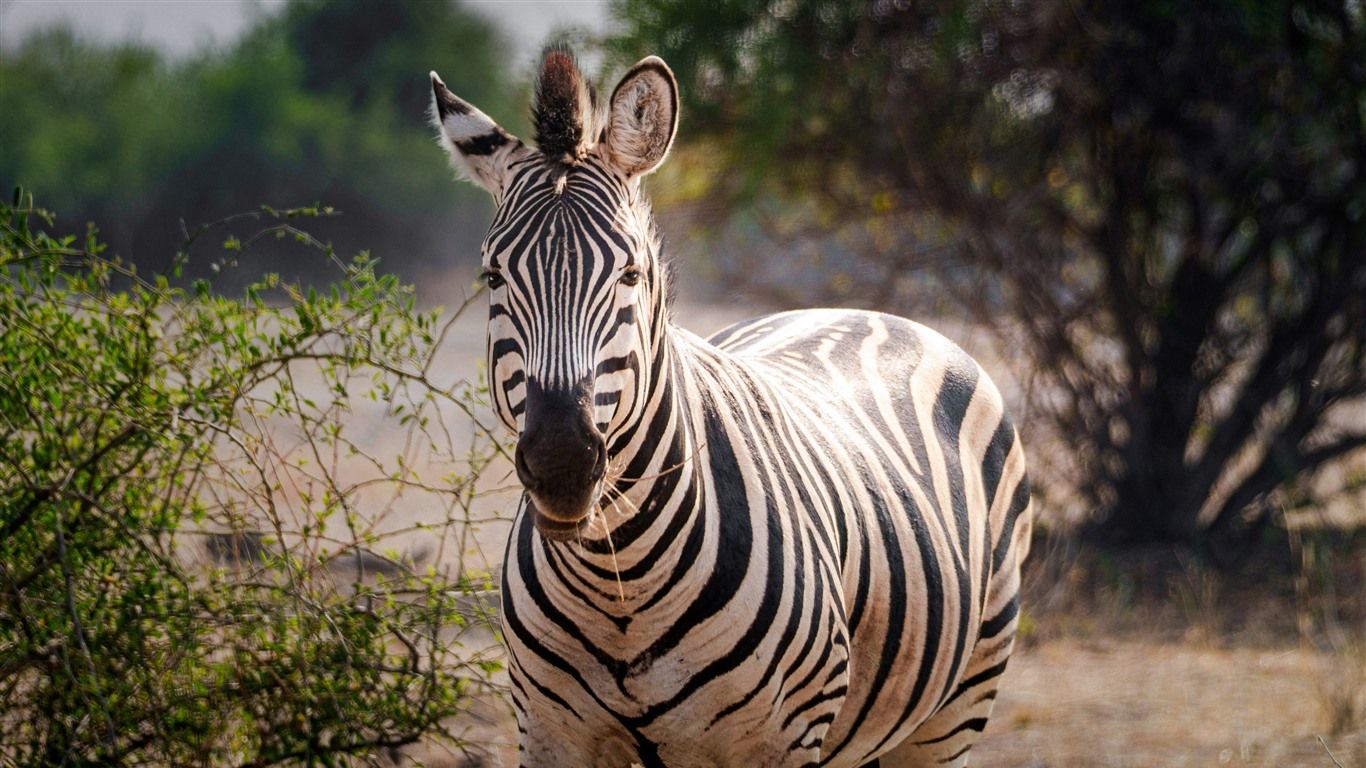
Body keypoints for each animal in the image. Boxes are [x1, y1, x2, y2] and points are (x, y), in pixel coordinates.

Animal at [430, 45, 1033, 768]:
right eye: (492, 276)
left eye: (630, 275)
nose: (561, 464)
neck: (618, 582)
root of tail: (865, 311)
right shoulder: (550, 733)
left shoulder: (782, 740)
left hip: (957, 705)